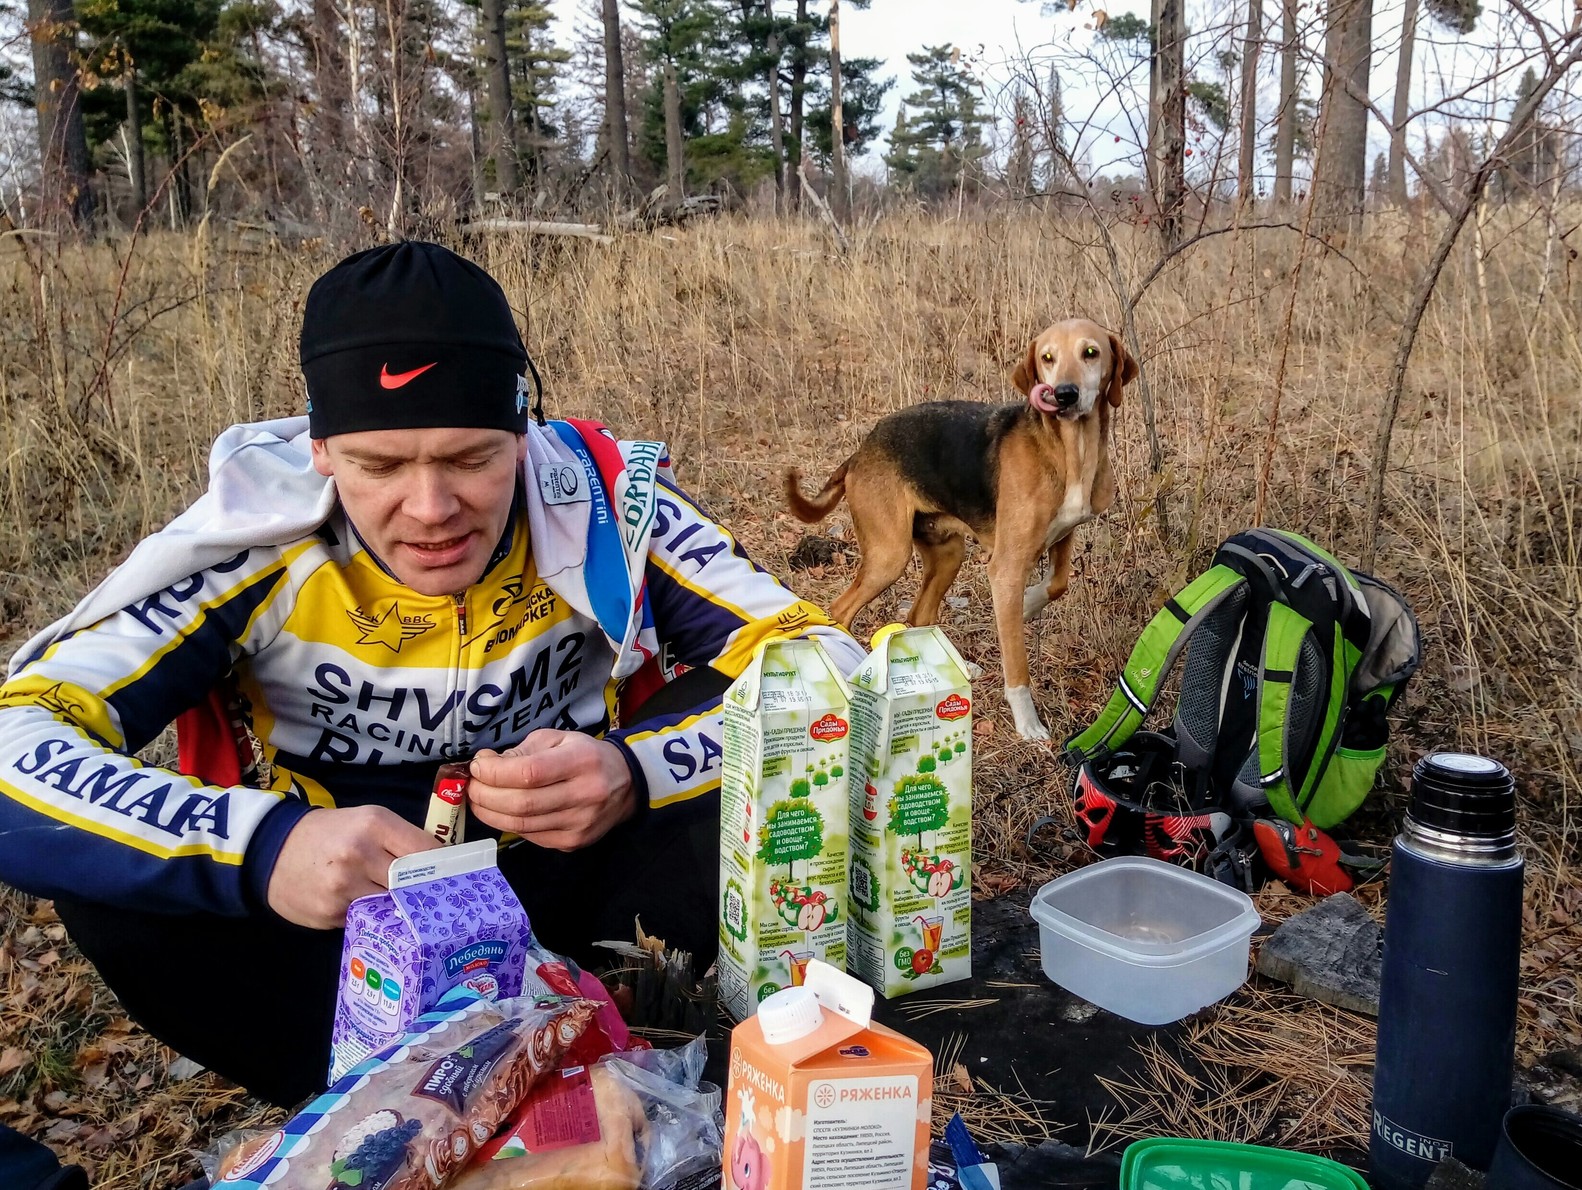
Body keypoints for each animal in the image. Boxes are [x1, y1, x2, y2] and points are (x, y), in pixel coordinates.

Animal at [781, 321, 1132, 740]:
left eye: (1090, 352)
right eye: (1048, 358)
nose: (1064, 395)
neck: (1068, 448)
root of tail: (859, 453)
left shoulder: (1064, 534)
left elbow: (1058, 583)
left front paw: (1028, 604)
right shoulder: (1006, 567)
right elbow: (1017, 666)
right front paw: (1028, 723)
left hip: (949, 553)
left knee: (920, 615)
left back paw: (956, 666)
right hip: (890, 556)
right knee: (840, 609)